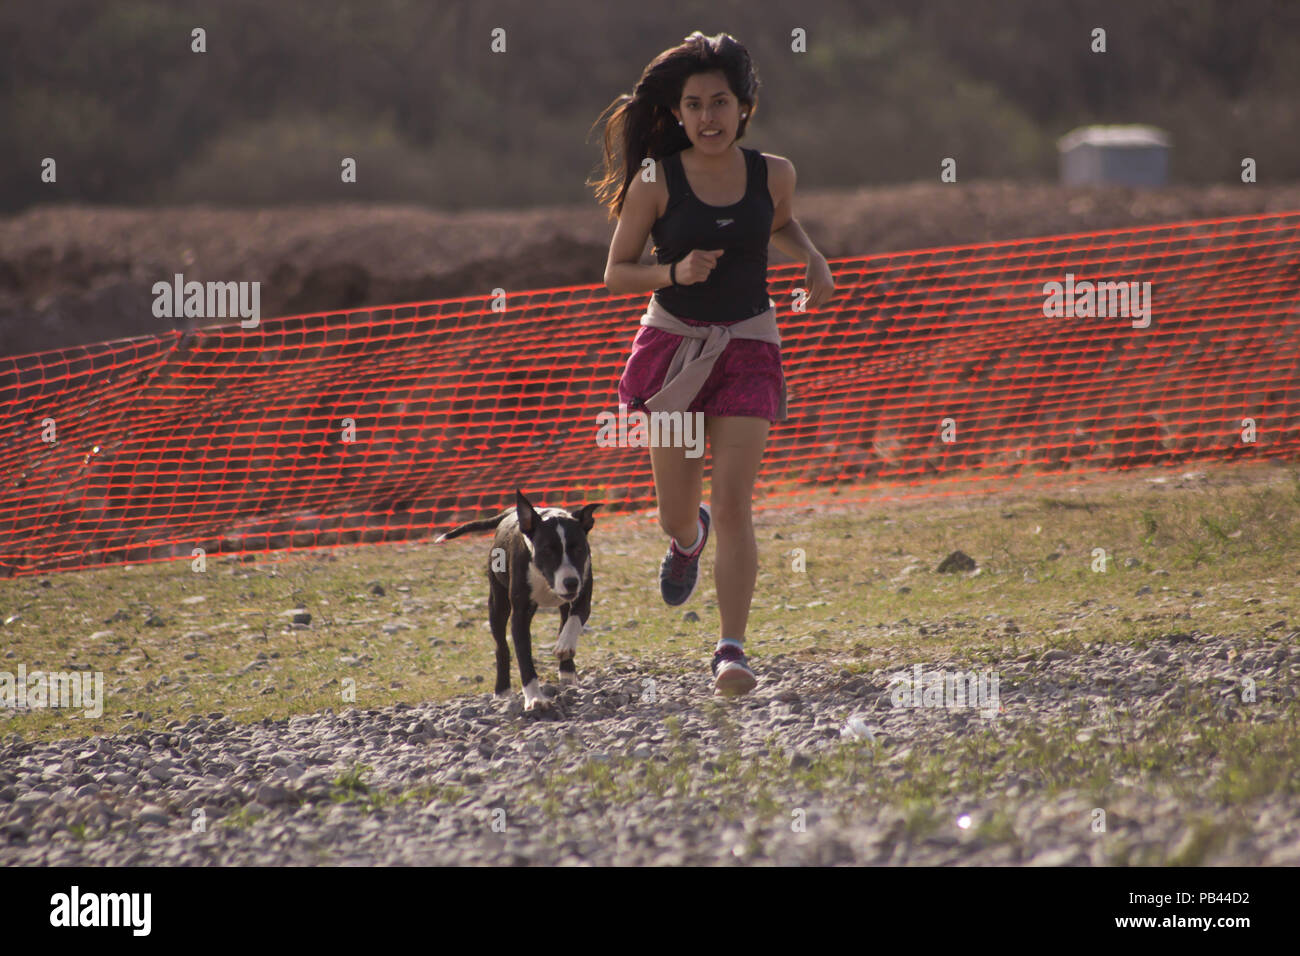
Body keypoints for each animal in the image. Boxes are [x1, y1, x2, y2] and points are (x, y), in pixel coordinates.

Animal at [434, 494, 600, 712]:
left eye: (579, 548)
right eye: (547, 550)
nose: (571, 582)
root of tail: (509, 512)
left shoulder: (582, 596)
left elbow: (573, 620)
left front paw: (564, 646)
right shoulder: (520, 615)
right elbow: (524, 657)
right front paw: (535, 698)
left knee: (564, 621)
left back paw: (567, 672)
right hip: (497, 605)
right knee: (501, 648)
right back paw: (502, 690)